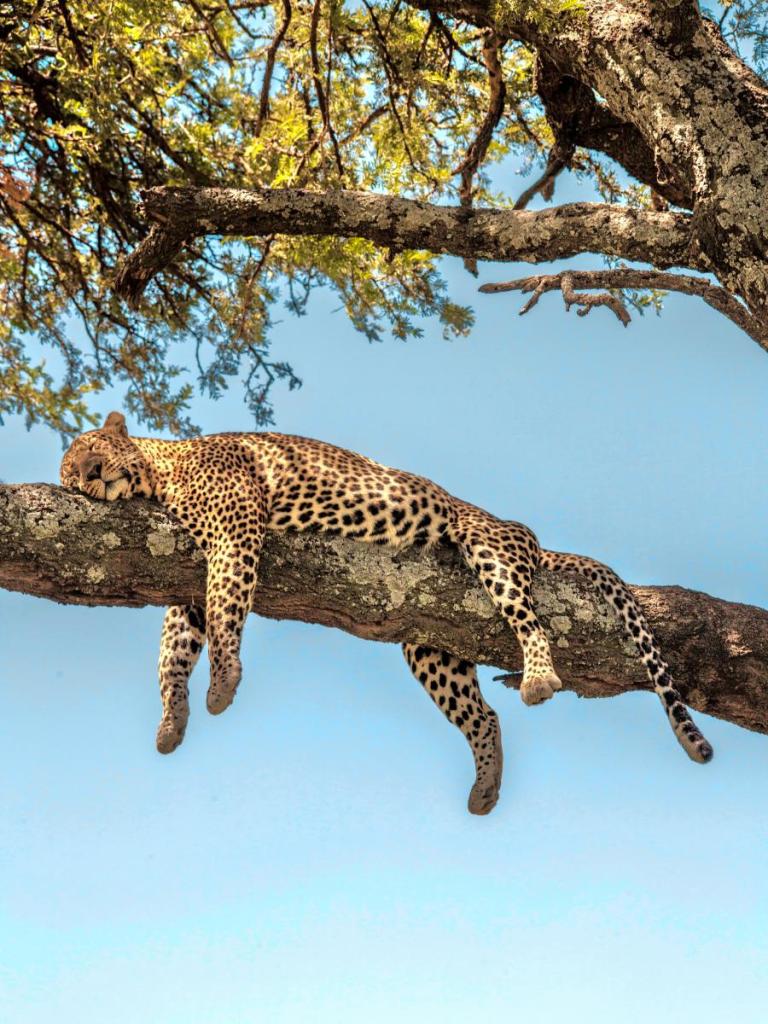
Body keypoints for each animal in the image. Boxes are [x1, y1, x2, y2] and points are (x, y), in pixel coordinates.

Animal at [60, 412, 713, 815]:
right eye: (69, 475)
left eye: (91, 451)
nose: (88, 476)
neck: (159, 471)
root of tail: (525, 533)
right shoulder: (186, 575)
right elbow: (177, 643)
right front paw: (172, 720)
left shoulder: (234, 528)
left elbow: (227, 605)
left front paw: (222, 684)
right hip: (431, 643)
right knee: (484, 716)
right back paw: (486, 786)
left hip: (491, 548)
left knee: (527, 619)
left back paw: (539, 677)